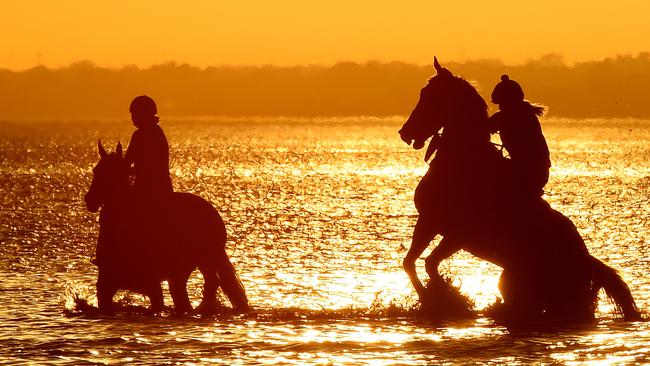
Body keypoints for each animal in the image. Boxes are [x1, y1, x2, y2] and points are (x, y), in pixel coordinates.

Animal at [394, 57, 636, 320]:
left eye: (431, 96)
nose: (405, 133)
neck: (463, 161)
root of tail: (589, 262)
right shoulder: (428, 222)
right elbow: (410, 263)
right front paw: (434, 299)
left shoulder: (456, 235)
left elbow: (429, 264)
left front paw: (446, 298)